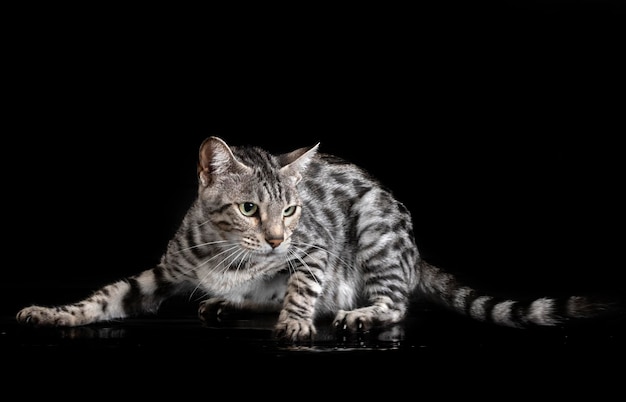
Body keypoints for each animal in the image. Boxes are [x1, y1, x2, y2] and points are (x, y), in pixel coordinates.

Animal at [15, 137, 620, 340]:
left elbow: (304, 283)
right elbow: (104, 297)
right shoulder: (164, 271)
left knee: (397, 303)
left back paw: (361, 314)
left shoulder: (314, 247)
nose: (276, 240)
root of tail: (416, 254)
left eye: (291, 210)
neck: (233, 259)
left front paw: (295, 321)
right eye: (249, 208)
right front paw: (52, 313)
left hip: (376, 228)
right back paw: (225, 305)